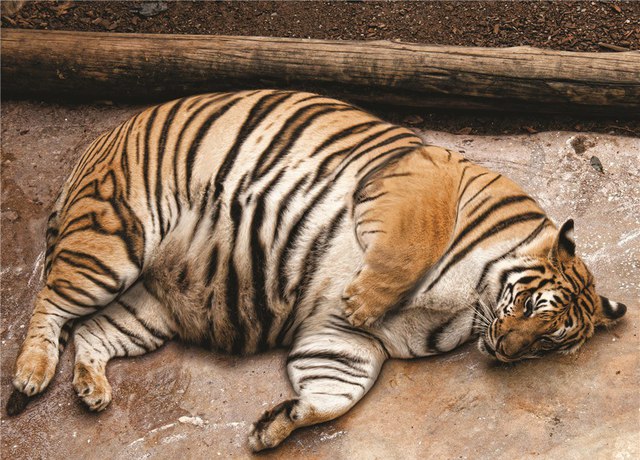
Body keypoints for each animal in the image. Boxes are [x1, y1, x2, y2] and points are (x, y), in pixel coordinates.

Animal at [6, 90, 627, 451]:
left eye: (549, 342)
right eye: (528, 306)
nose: (505, 351)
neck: (470, 306)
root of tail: (96, 145)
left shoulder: (348, 342)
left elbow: (336, 391)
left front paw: (274, 425)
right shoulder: (418, 179)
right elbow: (410, 245)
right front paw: (363, 298)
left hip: (148, 307)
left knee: (91, 332)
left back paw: (91, 389)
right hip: (113, 244)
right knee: (49, 304)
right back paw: (32, 374)